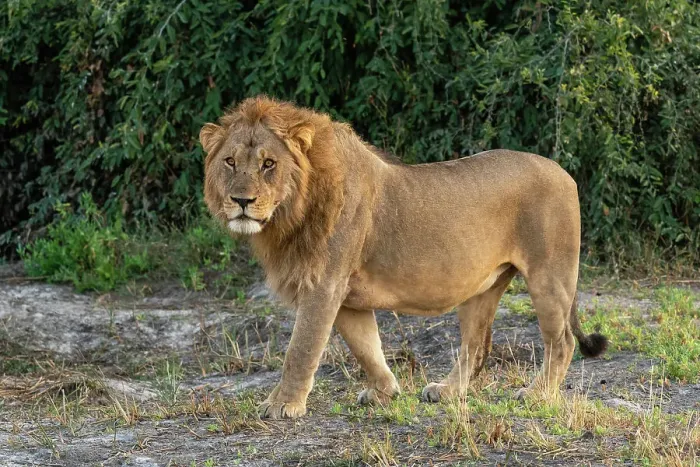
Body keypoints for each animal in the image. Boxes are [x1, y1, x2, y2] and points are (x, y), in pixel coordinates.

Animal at [200, 96, 608, 419]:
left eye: (269, 163)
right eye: (230, 162)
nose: (241, 201)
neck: (290, 215)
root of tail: (564, 172)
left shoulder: (323, 285)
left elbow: (301, 348)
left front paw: (282, 404)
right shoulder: (346, 297)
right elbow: (367, 347)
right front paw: (385, 392)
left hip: (549, 276)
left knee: (561, 341)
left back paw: (538, 394)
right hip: (482, 287)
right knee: (475, 346)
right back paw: (448, 391)